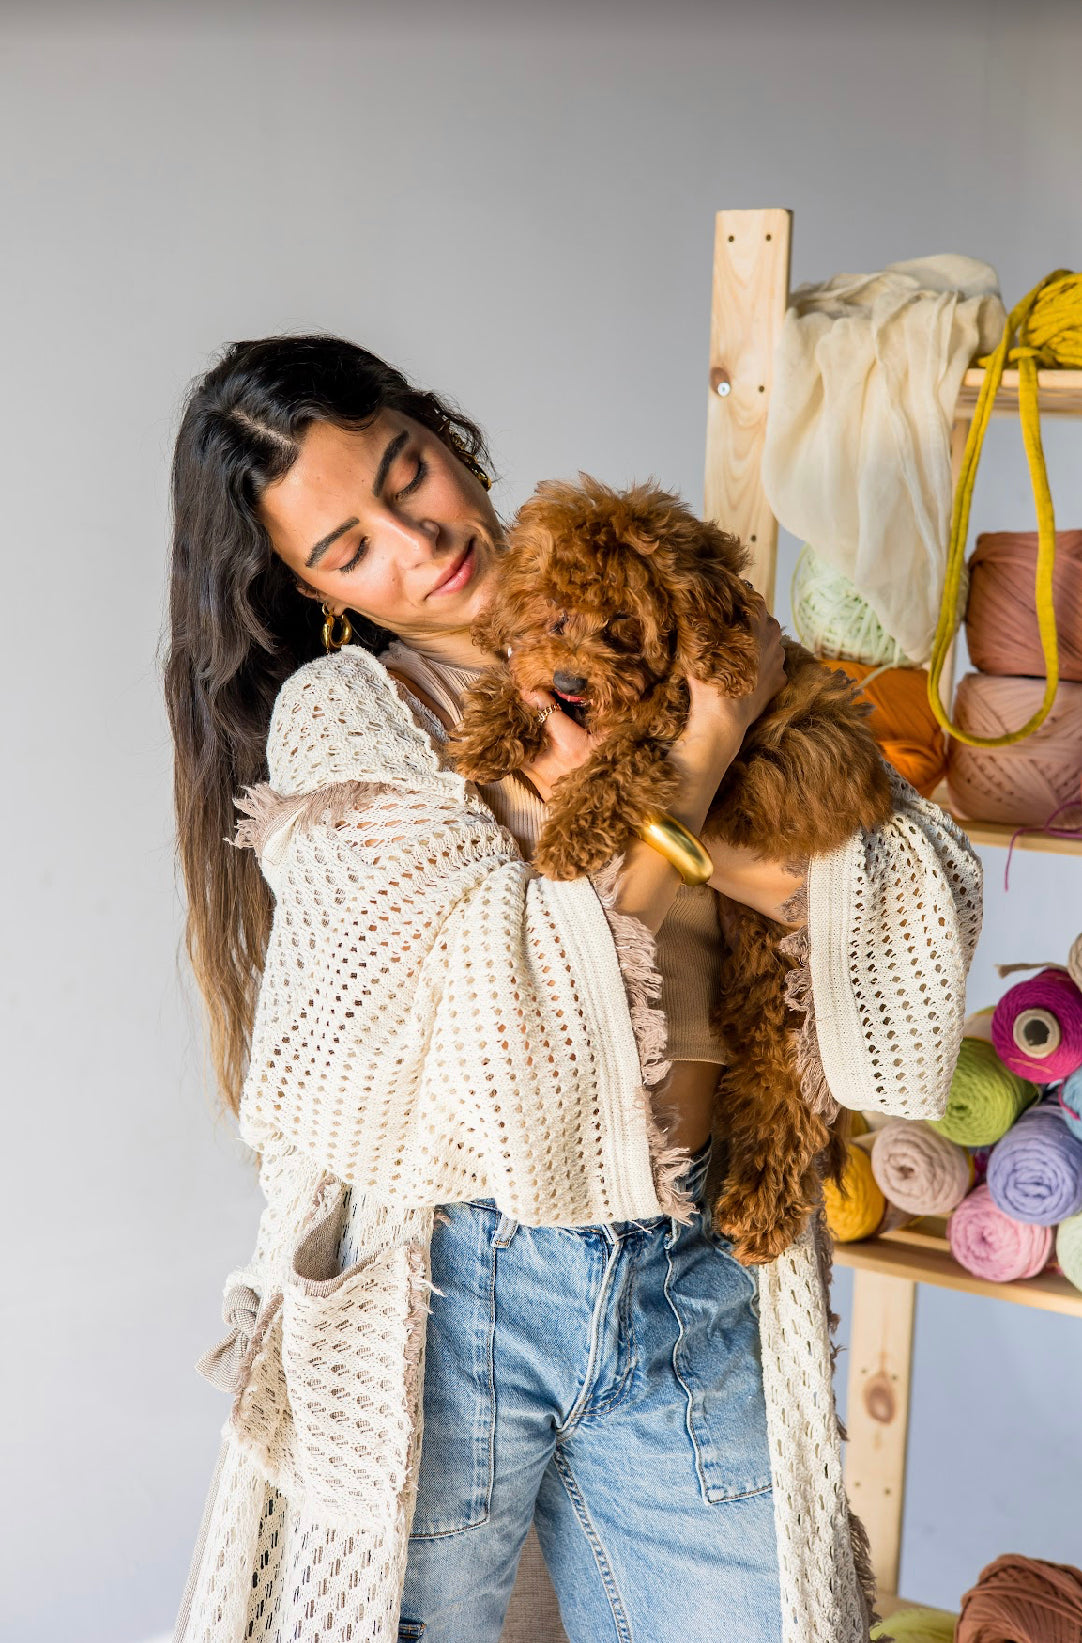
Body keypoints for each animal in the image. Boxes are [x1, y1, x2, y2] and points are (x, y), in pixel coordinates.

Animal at [449, 469, 899, 1261]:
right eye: (556, 618)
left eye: (622, 626)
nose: (573, 681)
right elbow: (522, 693)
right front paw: (492, 725)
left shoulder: (670, 722)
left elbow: (618, 761)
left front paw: (568, 836)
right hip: (756, 988)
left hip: (790, 996)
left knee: (789, 1104)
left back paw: (757, 1215)